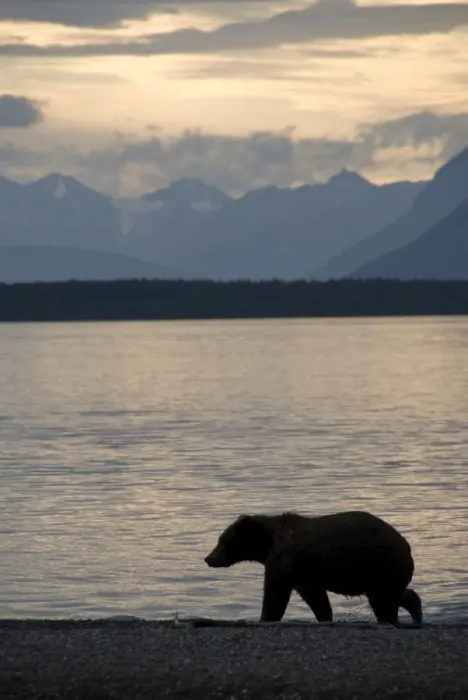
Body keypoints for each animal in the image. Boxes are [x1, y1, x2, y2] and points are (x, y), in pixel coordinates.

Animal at [204, 510, 423, 625]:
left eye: (222, 540)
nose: (208, 558)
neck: (267, 543)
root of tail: (407, 547)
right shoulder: (304, 575)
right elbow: (316, 599)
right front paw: (325, 617)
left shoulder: (286, 561)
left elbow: (275, 595)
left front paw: (265, 618)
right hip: (380, 573)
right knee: (396, 595)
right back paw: (415, 613)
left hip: (378, 564)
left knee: (383, 601)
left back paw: (391, 619)